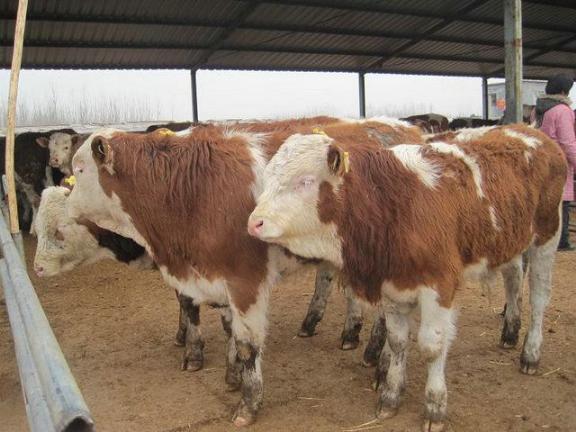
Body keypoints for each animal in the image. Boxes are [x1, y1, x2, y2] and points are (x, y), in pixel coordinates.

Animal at [67, 116, 426, 426]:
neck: (192, 187)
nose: (69, 210)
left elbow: (247, 344)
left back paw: (380, 368)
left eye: (80, 170)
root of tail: (404, 128)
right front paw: (232, 376)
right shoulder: (216, 277)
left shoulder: (245, 279)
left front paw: (248, 403)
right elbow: (229, 330)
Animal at [249, 123, 568, 430]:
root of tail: (532, 131)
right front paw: (390, 396)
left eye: (305, 181)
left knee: (539, 299)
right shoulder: (393, 285)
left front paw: (435, 405)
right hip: (509, 244)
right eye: (269, 177)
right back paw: (510, 332)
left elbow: (431, 346)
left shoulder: (440, 285)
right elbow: (398, 341)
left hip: (546, 237)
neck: (394, 204)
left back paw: (530, 354)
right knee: (513, 280)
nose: (254, 223)